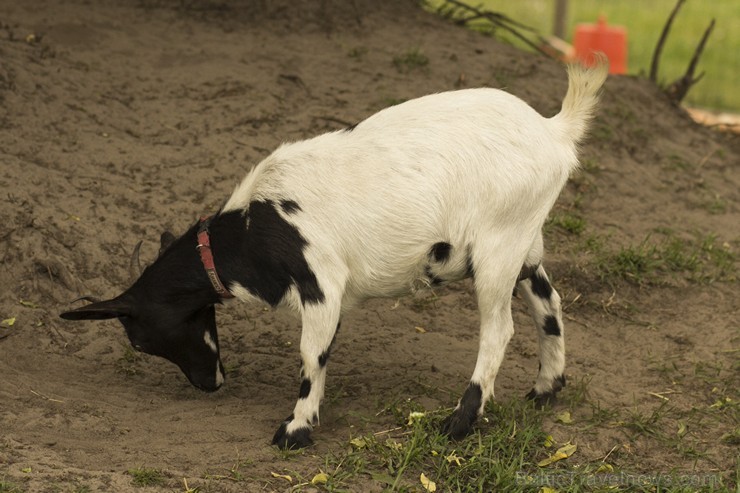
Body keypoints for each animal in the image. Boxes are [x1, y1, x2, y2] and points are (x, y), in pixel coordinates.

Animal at [60, 59, 608, 448]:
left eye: (137, 341)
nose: (209, 384)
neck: (255, 225)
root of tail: (554, 131)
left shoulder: (321, 281)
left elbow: (312, 353)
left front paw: (295, 430)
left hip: (498, 245)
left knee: (499, 330)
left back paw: (458, 424)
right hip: (523, 243)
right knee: (548, 302)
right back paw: (546, 388)